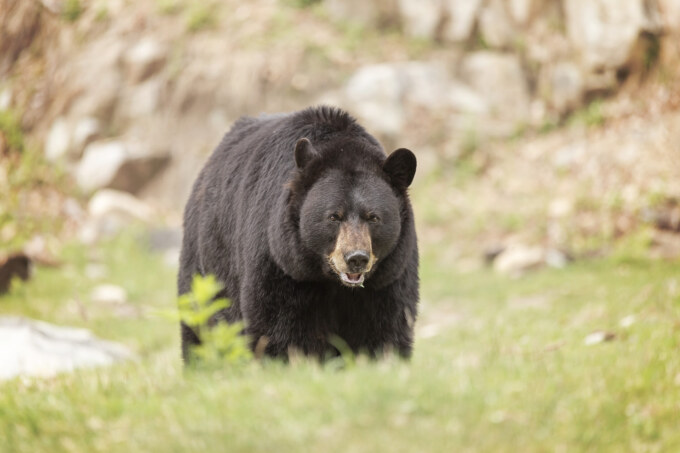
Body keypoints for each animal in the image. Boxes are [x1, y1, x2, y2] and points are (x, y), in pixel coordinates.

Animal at [178, 105, 418, 360]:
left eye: (373, 217)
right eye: (334, 216)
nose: (356, 259)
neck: (331, 282)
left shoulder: (389, 275)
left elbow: (387, 327)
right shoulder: (280, 261)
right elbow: (277, 326)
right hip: (206, 264)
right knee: (198, 321)